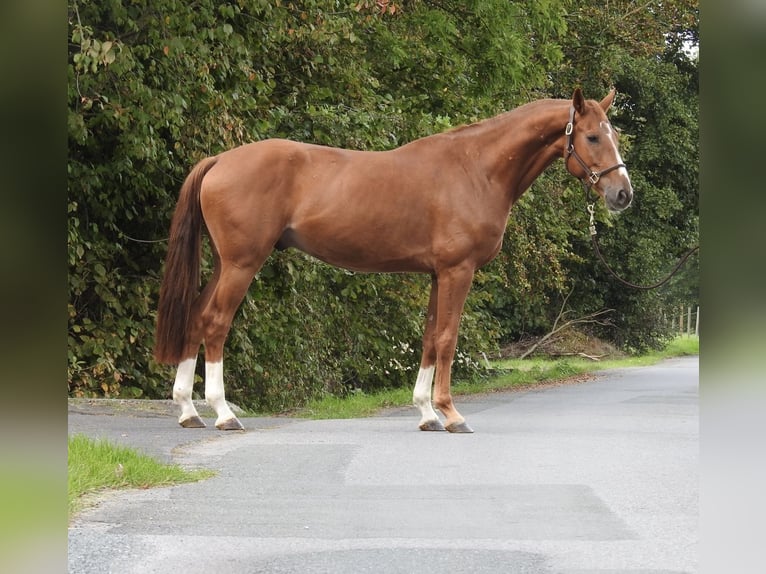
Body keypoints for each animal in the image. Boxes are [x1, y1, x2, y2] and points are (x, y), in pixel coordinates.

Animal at [154, 88, 633, 433]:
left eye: (614, 136)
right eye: (592, 136)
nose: (622, 194)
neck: (476, 169)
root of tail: (221, 159)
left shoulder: (438, 275)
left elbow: (429, 338)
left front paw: (426, 413)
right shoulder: (458, 272)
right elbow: (448, 339)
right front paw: (451, 414)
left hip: (224, 263)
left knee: (195, 318)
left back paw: (188, 411)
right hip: (242, 264)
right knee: (215, 323)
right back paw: (223, 412)